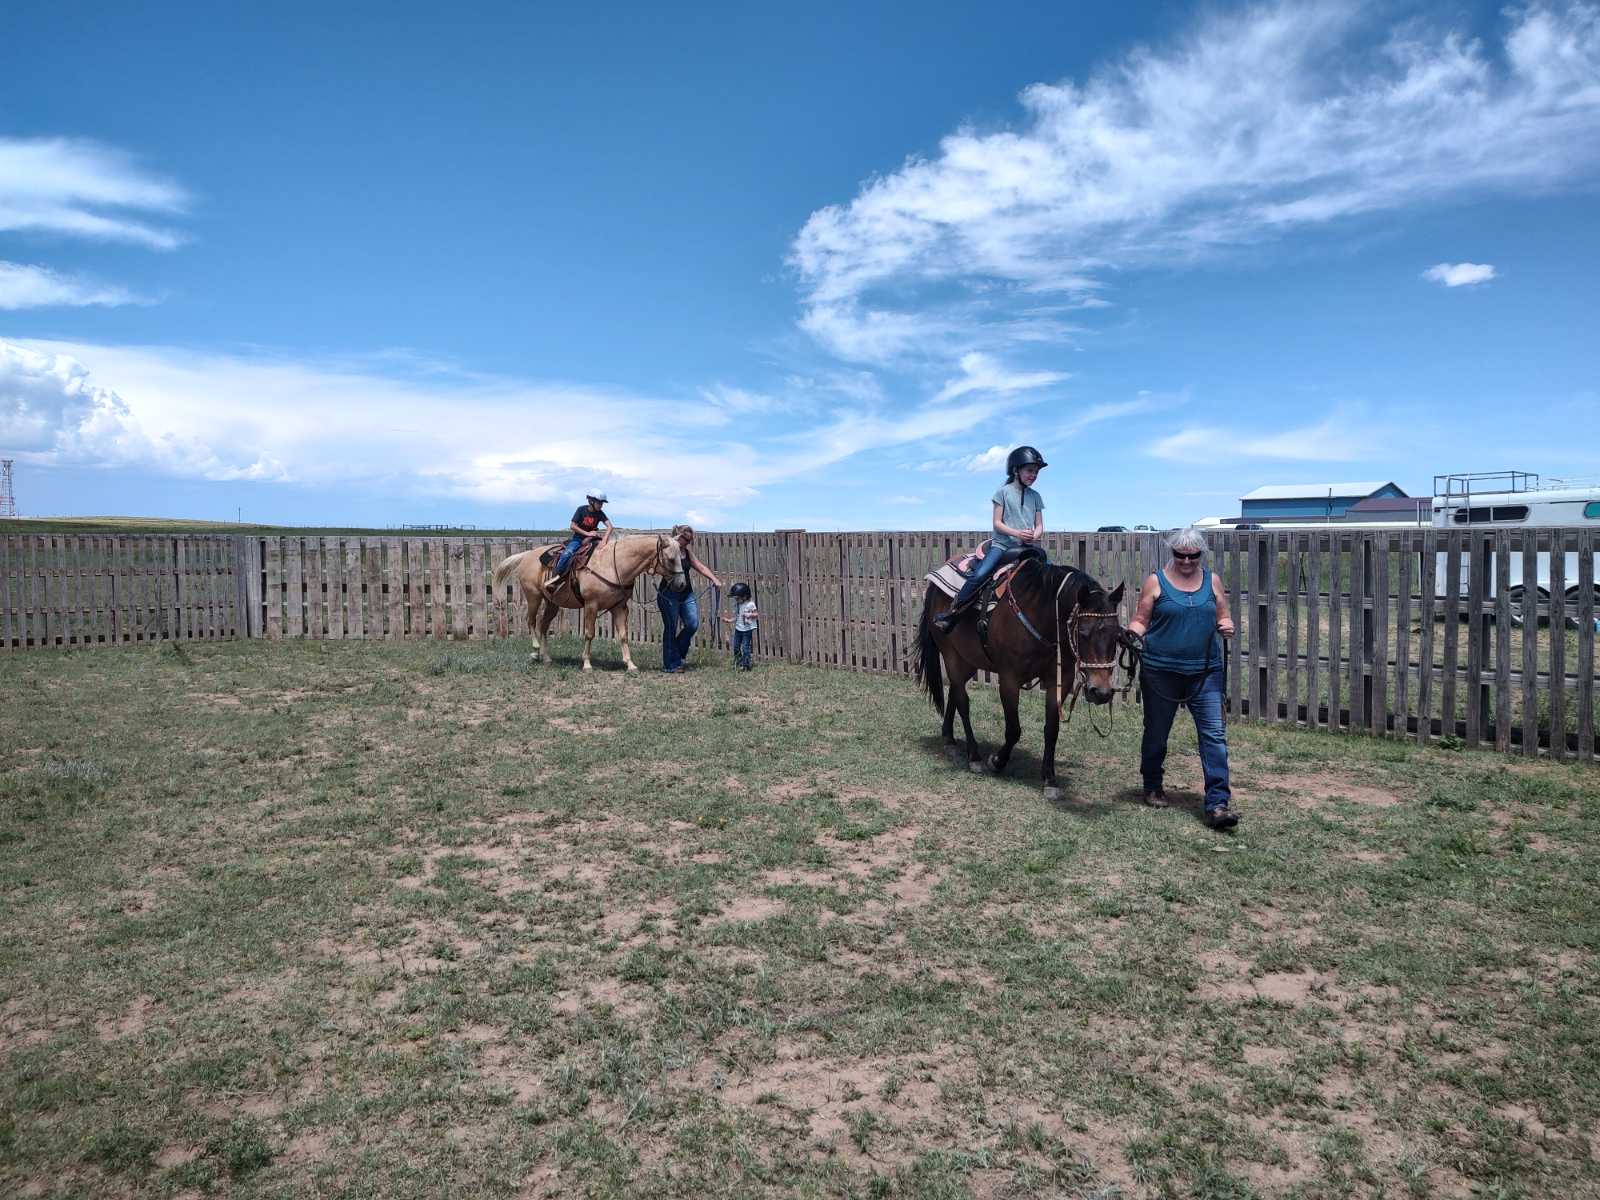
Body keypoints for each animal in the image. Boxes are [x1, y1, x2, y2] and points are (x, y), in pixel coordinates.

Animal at [492, 537, 681, 672]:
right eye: (671, 559)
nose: (681, 584)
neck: (613, 565)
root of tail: (527, 555)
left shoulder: (620, 607)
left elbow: (623, 635)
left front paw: (630, 664)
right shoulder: (591, 605)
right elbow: (589, 634)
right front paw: (587, 664)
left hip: (552, 604)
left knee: (543, 626)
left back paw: (546, 658)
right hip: (533, 596)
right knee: (531, 621)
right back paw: (534, 651)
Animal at [921, 560, 1132, 803]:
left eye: (1117, 635)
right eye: (1083, 632)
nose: (1101, 692)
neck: (1043, 615)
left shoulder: (1059, 680)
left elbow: (1052, 729)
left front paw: (1050, 779)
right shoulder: (1009, 679)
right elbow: (1014, 729)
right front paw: (997, 761)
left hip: (968, 660)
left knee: (955, 693)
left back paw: (949, 739)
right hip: (951, 655)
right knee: (963, 702)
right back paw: (974, 757)